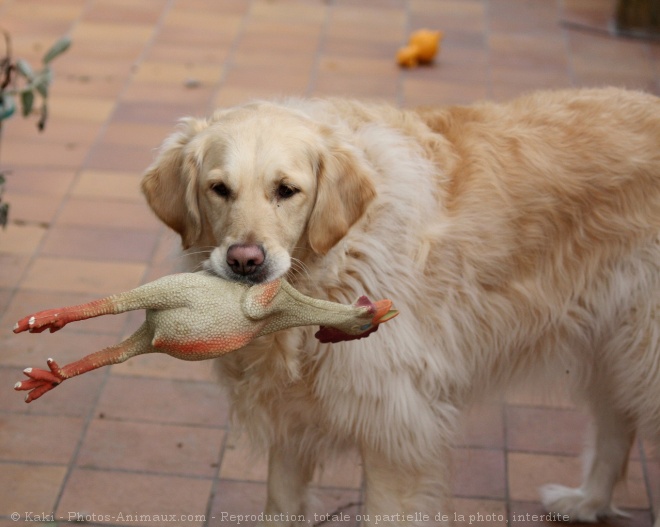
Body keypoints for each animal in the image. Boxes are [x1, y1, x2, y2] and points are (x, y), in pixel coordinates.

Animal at [143, 88, 660, 524]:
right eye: (219, 189)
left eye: (286, 190)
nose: (244, 261)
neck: (339, 260)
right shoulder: (291, 426)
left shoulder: (397, 433)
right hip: (616, 347)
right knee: (617, 426)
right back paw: (587, 502)